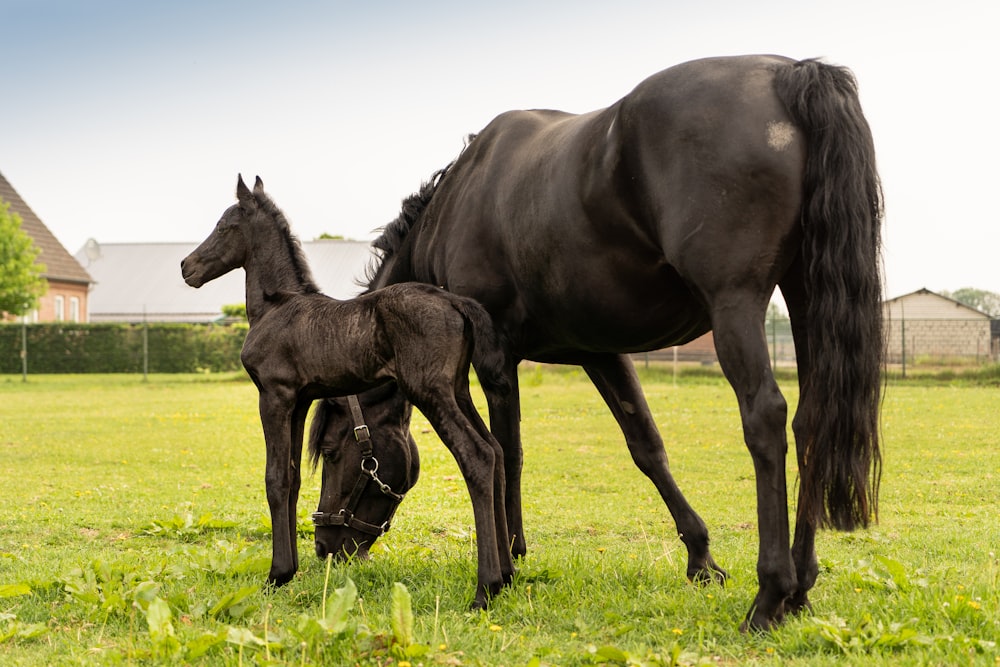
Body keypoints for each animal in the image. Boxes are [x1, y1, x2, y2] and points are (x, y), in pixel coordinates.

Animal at [179, 177, 516, 612]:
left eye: (223, 227)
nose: (187, 267)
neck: (277, 306)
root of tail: (455, 301)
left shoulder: (273, 395)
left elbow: (274, 478)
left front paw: (276, 575)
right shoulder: (299, 400)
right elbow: (291, 479)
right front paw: (288, 572)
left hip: (431, 391)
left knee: (476, 455)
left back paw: (484, 589)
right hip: (457, 389)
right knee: (495, 450)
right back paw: (507, 576)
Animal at [312, 53, 884, 632]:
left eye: (334, 452)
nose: (325, 545)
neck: (457, 202)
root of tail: (789, 73)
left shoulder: (496, 359)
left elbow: (507, 451)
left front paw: (510, 559)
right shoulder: (600, 353)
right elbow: (647, 447)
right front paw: (701, 559)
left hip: (736, 305)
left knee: (765, 418)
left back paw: (770, 596)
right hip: (808, 298)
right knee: (812, 422)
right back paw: (802, 587)